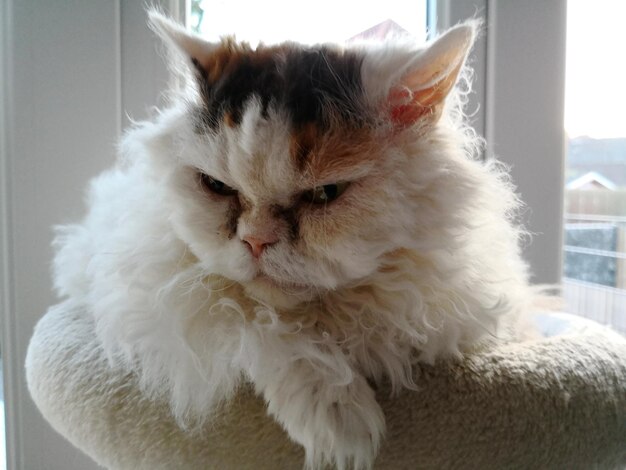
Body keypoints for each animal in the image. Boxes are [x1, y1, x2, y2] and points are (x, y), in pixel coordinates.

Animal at [51, 11, 532, 470]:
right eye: (217, 187)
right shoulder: (155, 296)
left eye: (325, 193)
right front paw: (340, 421)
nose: (255, 242)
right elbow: (256, 318)